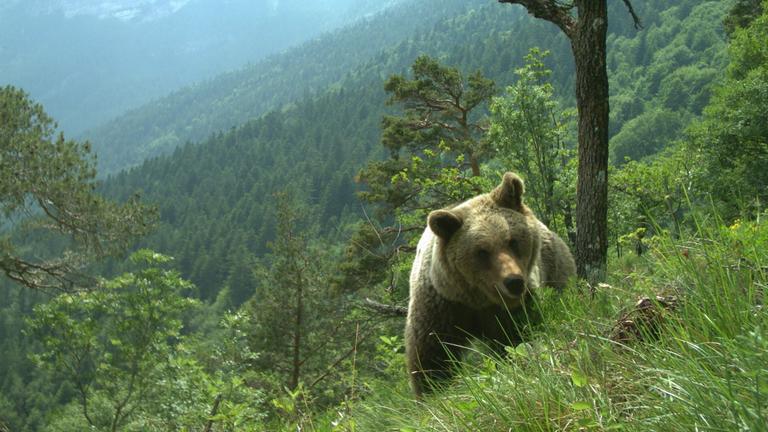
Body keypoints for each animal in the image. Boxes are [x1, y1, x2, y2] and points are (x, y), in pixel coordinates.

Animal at [405, 172, 576, 396]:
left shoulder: (513, 308)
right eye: (481, 251)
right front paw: (433, 390)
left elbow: (518, 338)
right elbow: (432, 354)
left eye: (512, 240)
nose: (514, 282)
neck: (478, 299)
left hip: (556, 267)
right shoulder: (442, 305)